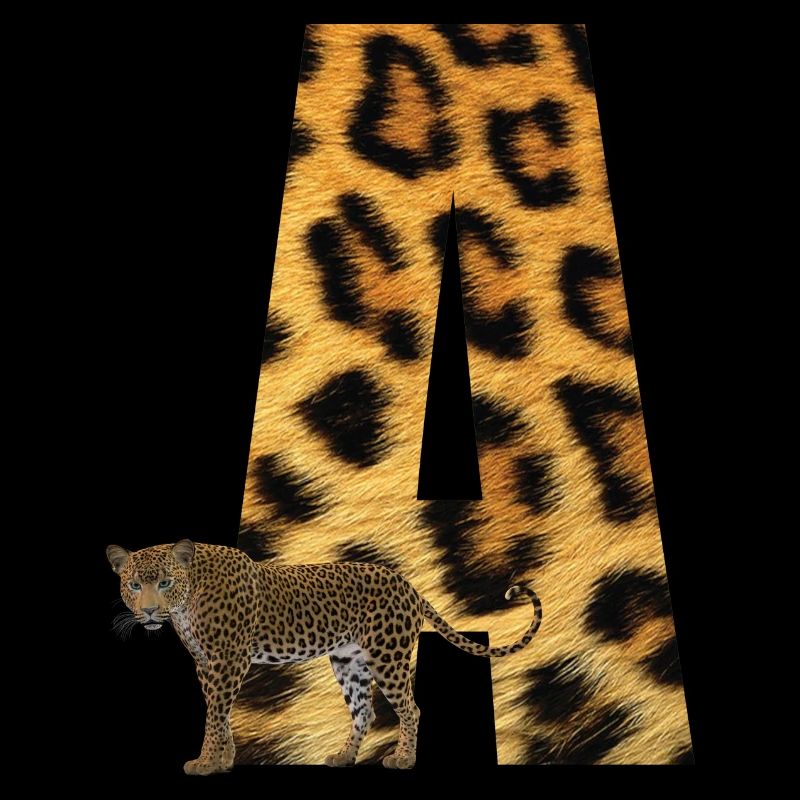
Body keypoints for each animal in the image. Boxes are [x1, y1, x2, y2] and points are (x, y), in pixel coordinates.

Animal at [107, 539, 542, 774]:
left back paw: (402, 759)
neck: (186, 600)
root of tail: (408, 584)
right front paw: (223, 759)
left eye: (165, 582)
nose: (149, 612)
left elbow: (215, 716)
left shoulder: (227, 660)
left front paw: (206, 762)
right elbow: (220, 714)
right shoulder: (206, 665)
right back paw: (344, 757)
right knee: (364, 711)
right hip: (349, 662)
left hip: (388, 655)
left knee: (410, 708)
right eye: (134, 585)